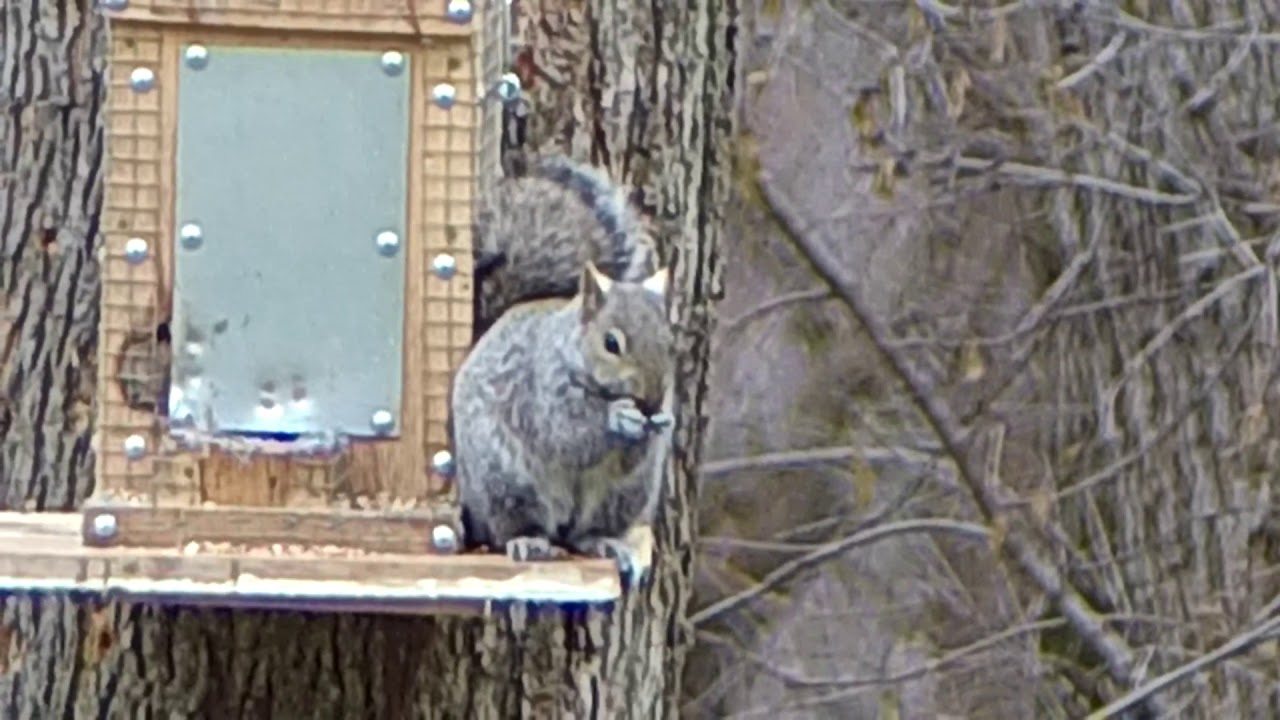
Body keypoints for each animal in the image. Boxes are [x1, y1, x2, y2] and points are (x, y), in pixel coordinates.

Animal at [447, 156, 674, 586]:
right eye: (611, 343)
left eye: (671, 339)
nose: (652, 401)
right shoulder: (540, 389)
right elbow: (568, 434)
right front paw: (618, 418)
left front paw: (660, 423)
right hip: (506, 482)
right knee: (514, 526)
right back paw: (529, 541)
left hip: (622, 496)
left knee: (584, 533)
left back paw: (604, 543)